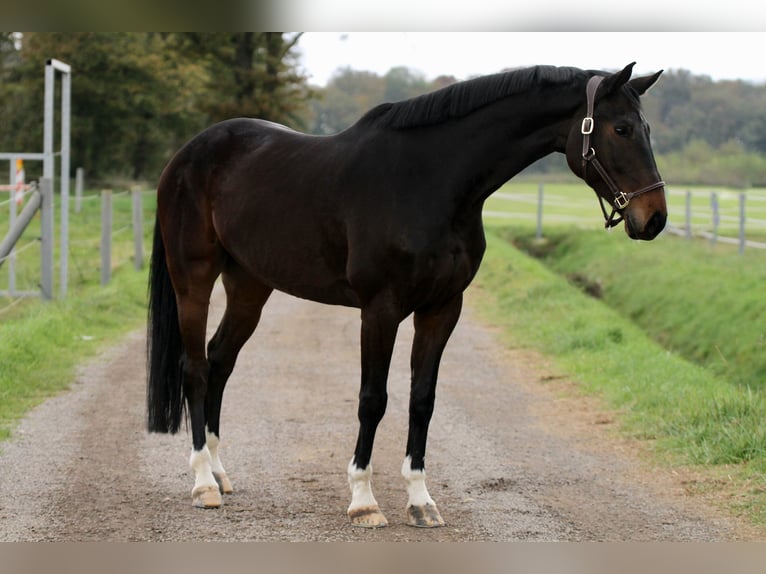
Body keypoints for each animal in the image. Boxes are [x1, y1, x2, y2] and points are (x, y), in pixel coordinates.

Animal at [147, 63, 668, 532]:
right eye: (621, 128)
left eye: (645, 127)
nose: (655, 218)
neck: (430, 181)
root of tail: (186, 155)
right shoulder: (380, 310)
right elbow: (372, 399)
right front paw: (363, 501)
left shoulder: (441, 309)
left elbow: (423, 399)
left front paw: (420, 502)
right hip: (194, 278)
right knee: (195, 369)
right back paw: (203, 483)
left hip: (250, 285)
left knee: (220, 361)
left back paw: (219, 471)